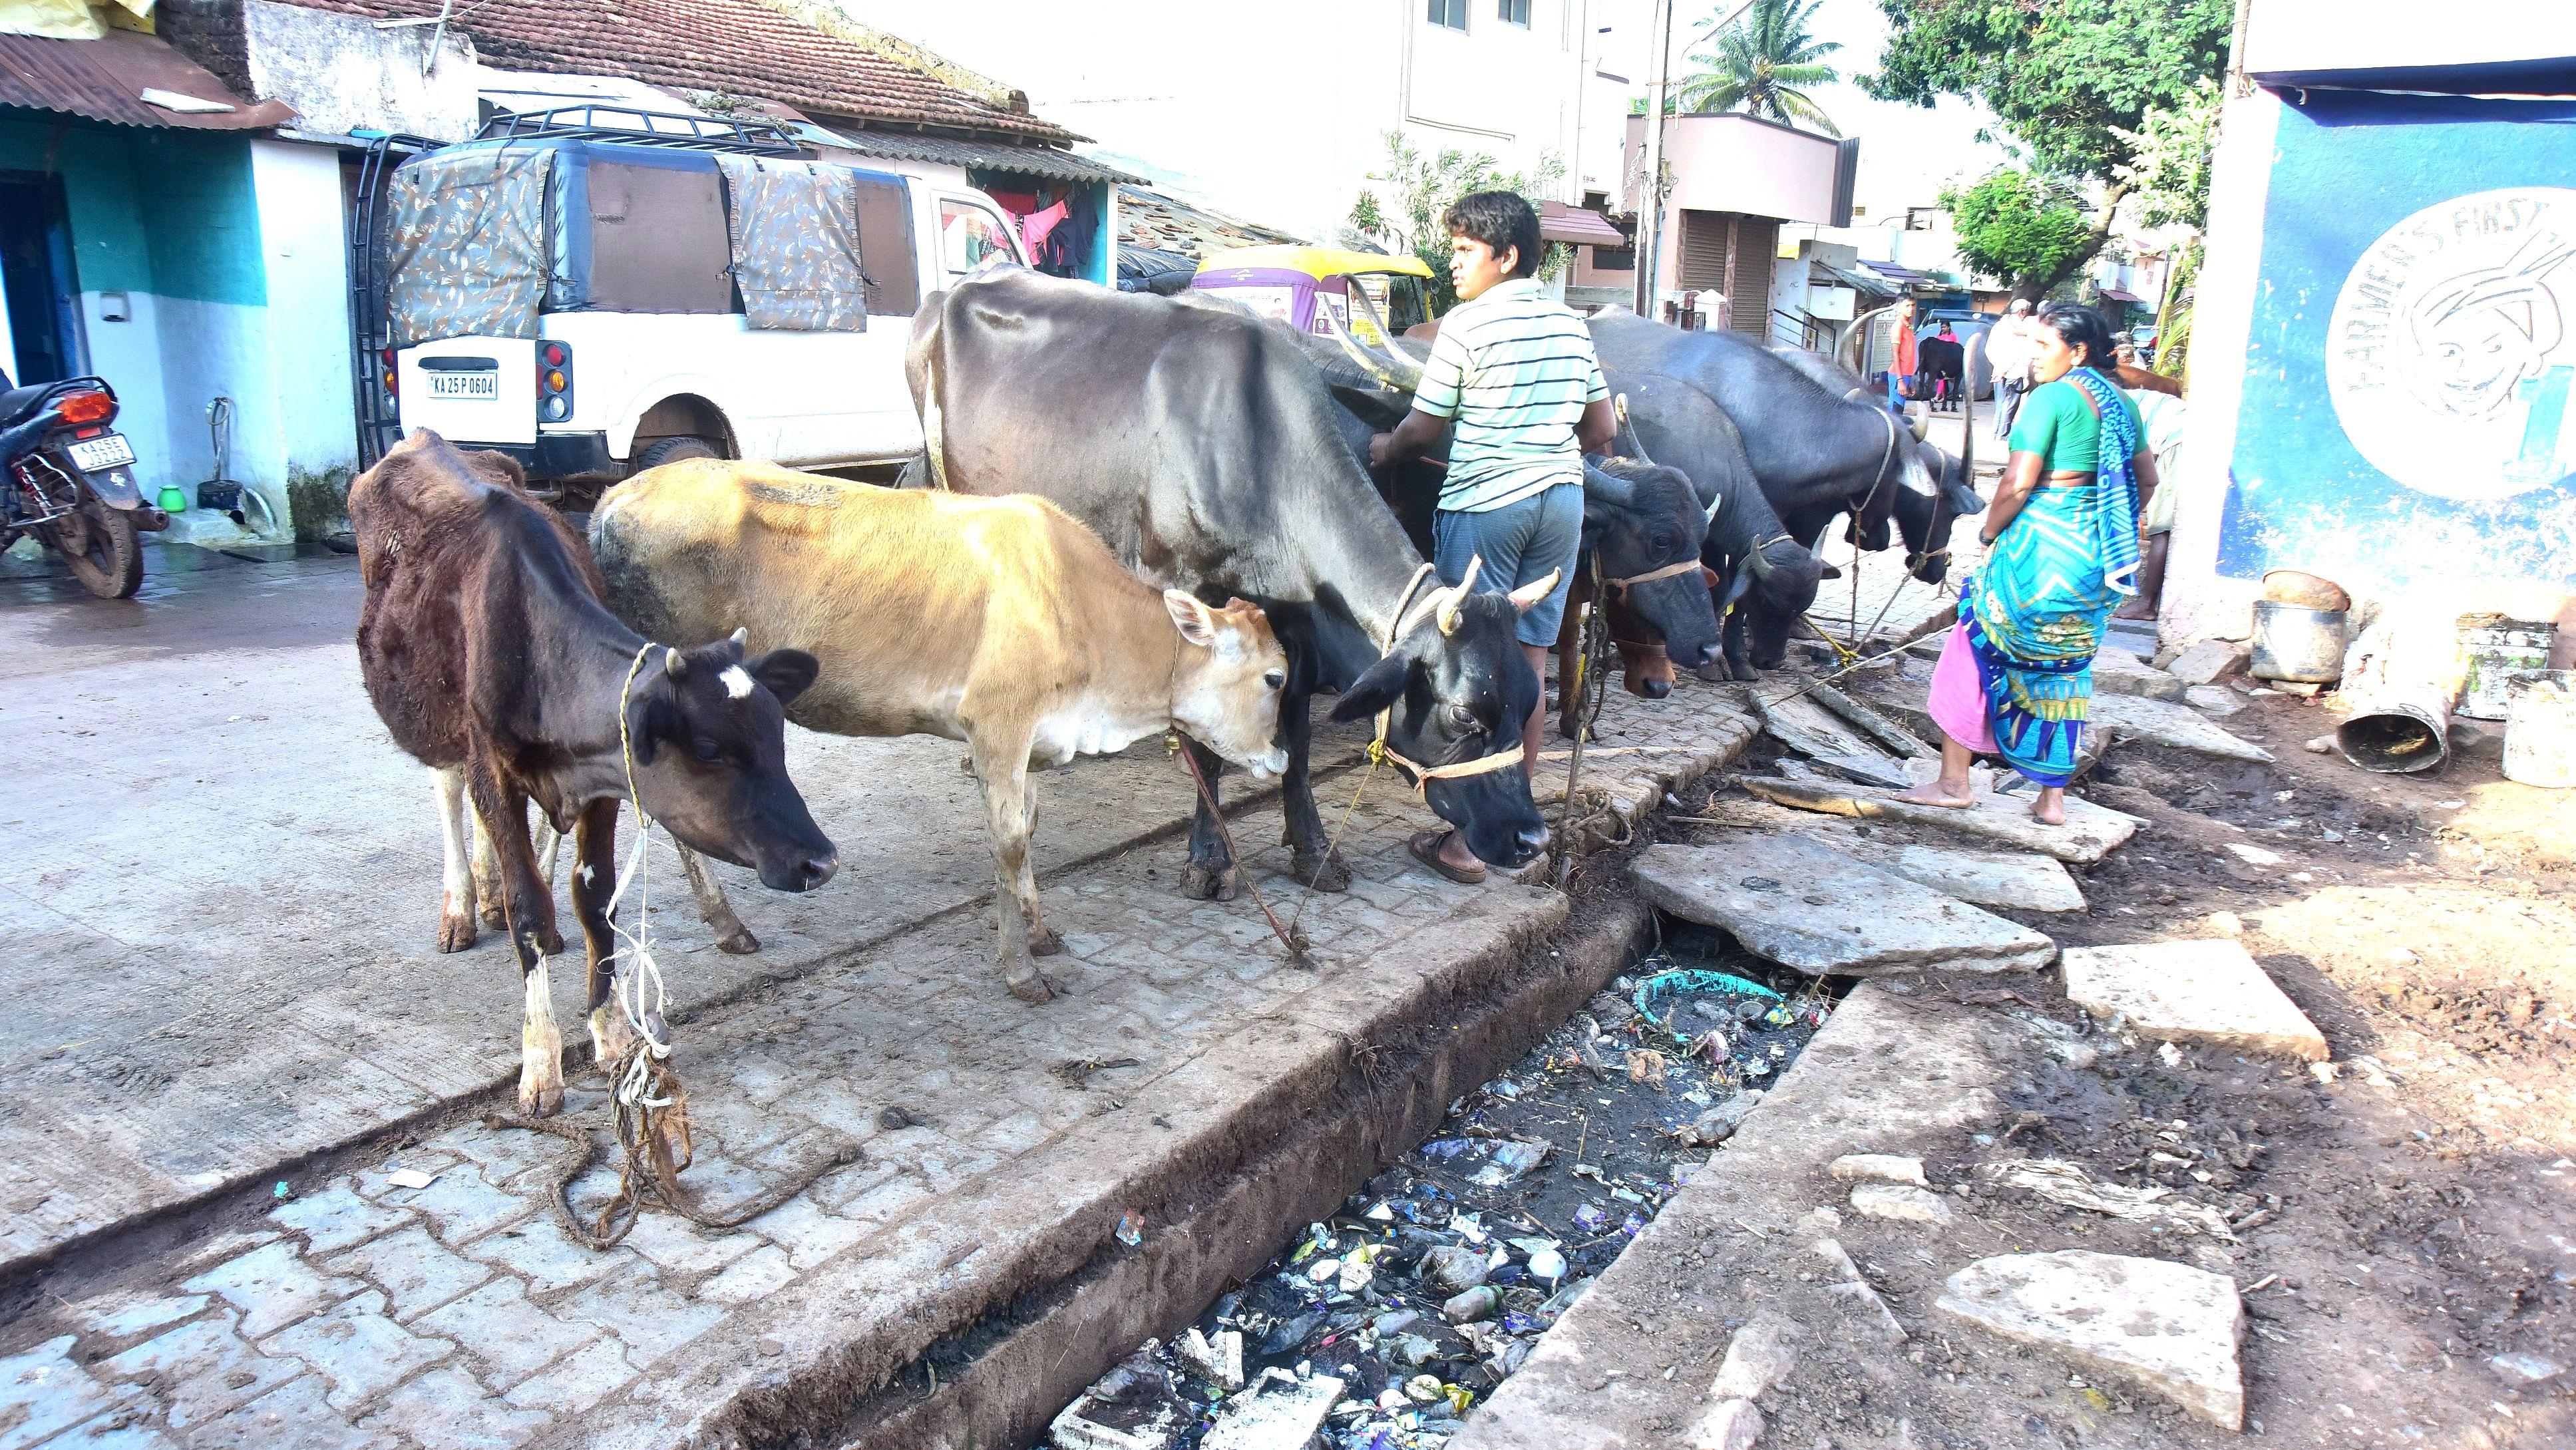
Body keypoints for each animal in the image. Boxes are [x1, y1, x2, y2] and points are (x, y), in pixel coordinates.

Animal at [347, 430, 834, 1112]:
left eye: (776, 734)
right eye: (709, 747)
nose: (822, 861)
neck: (539, 648)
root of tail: (424, 438)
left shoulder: (605, 781)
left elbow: (595, 899)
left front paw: (609, 1033)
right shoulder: (494, 767)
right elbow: (528, 907)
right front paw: (540, 1063)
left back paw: (487, 890)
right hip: (432, 712)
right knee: (448, 787)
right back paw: (463, 905)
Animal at [592, 466, 1298, 1009]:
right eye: (1275, 677)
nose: (1281, 755)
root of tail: (618, 496)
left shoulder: (1029, 739)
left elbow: (1028, 825)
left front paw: (1038, 930)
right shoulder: (997, 725)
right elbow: (1008, 843)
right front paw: (1021, 971)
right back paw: (726, 922)